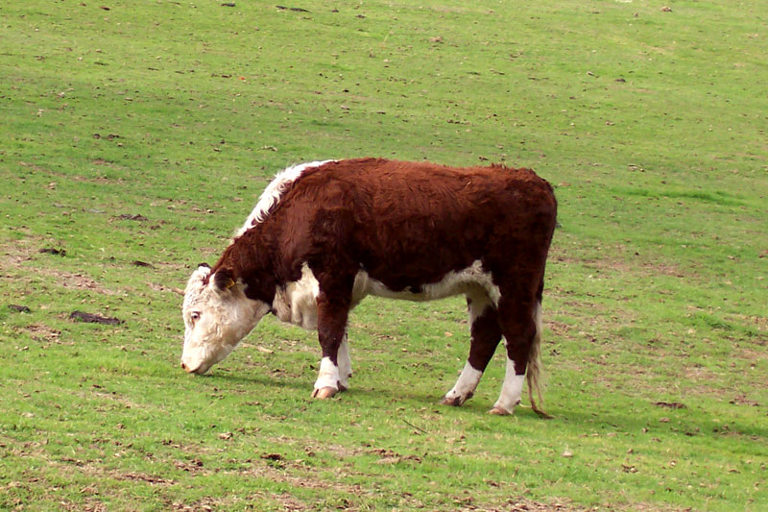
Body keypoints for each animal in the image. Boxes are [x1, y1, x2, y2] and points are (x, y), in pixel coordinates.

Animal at [181, 158, 557, 416]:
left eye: (196, 315)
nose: (184, 365)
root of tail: (532, 180)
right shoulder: (336, 287)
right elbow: (340, 329)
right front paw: (341, 379)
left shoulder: (333, 275)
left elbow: (329, 331)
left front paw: (325, 385)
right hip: (480, 289)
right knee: (484, 338)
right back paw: (456, 394)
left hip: (514, 284)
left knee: (518, 338)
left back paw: (504, 403)